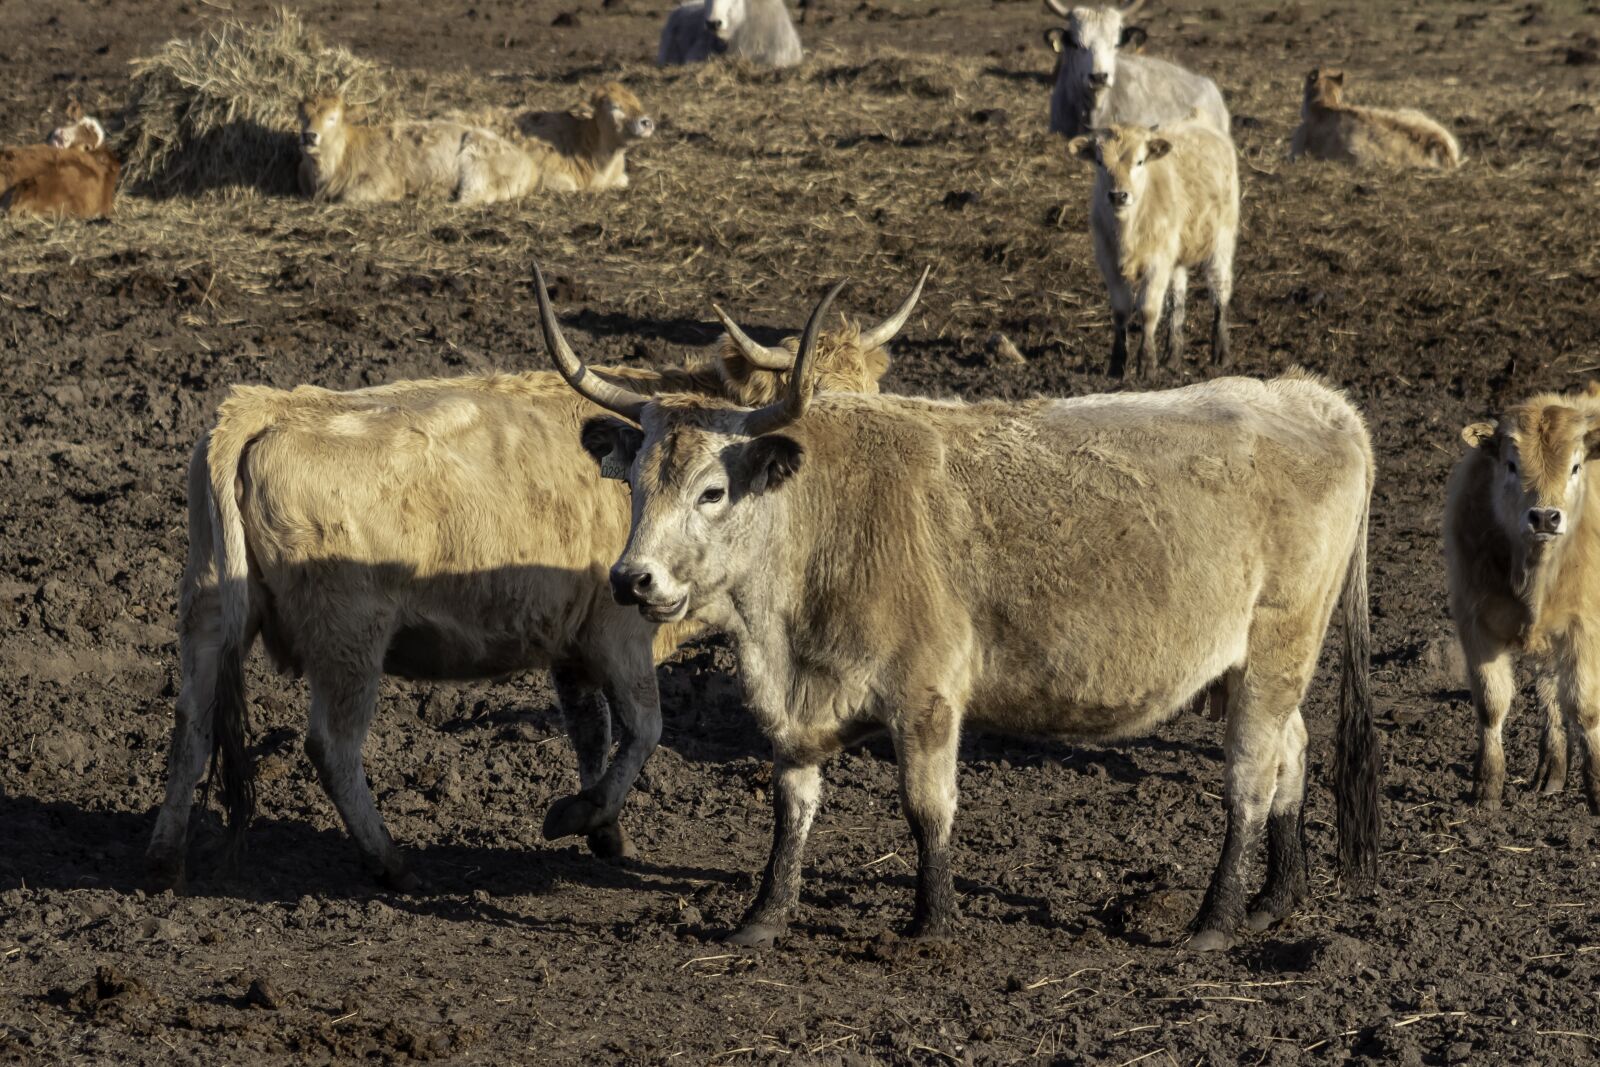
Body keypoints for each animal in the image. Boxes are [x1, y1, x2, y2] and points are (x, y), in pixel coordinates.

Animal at [144, 266, 925, 892]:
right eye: (818, 407)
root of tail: (266, 406)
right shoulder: (620, 630)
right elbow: (644, 728)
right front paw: (580, 815)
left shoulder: (570, 644)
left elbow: (591, 732)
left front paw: (605, 833)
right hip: (349, 641)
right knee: (332, 748)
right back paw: (392, 863)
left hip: (209, 617)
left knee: (190, 726)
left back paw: (165, 859)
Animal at [542, 273, 1380, 953]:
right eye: (635, 484)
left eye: (712, 490)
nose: (633, 578)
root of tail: (1317, 400)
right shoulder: (797, 702)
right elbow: (793, 802)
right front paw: (764, 914)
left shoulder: (927, 693)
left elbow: (926, 807)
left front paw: (932, 920)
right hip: (1245, 668)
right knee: (1293, 751)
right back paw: (1275, 898)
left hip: (1278, 649)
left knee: (1251, 775)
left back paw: (1215, 918)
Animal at [1067, 116, 1238, 377]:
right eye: (1099, 161)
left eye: (1139, 161)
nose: (1118, 196)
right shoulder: (1109, 262)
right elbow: (1121, 310)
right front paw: (1117, 364)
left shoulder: (1157, 263)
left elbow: (1148, 309)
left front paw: (1147, 364)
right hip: (1176, 258)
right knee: (1177, 302)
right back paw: (1173, 356)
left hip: (1222, 242)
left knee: (1220, 291)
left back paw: (1221, 352)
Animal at [1445, 384, 1600, 815]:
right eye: (1512, 465)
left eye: (1576, 467)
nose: (1545, 517)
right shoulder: (1475, 622)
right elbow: (1492, 703)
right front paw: (1488, 786)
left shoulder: (1585, 627)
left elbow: (1585, 707)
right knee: (1550, 689)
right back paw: (1552, 770)